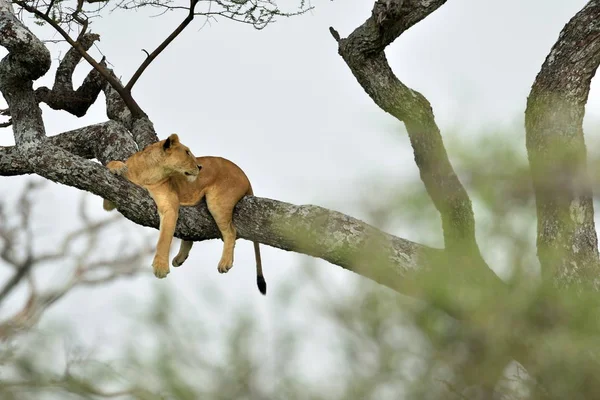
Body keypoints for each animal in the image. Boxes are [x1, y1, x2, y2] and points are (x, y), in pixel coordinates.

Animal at [102, 134, 266, 294]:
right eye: (187, 152)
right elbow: (111, 177)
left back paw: (225, 262)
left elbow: (164, 238)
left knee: (231, 232)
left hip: (218, 202)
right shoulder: (116, 196)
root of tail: (245, 175)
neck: (150, 172)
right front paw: (117, 167)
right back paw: (180, 259)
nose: (200, 166)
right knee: (191, 233)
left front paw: (160, 267)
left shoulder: (170, 205)